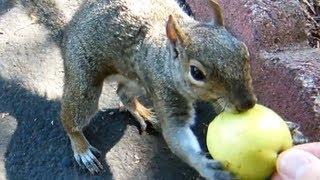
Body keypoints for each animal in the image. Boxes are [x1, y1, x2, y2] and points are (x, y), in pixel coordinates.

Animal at [21, 0, 258, 180]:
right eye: (196, 72)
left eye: (244, 51)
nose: (248, 103)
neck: (164, 56)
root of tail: (68, 29)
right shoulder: (164, 90)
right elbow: (176, 135)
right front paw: (205, 167)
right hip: (84, 81)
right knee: (73, 117)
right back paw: (81, 148)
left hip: (138, 80)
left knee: (123, 93)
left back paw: (141, 112)